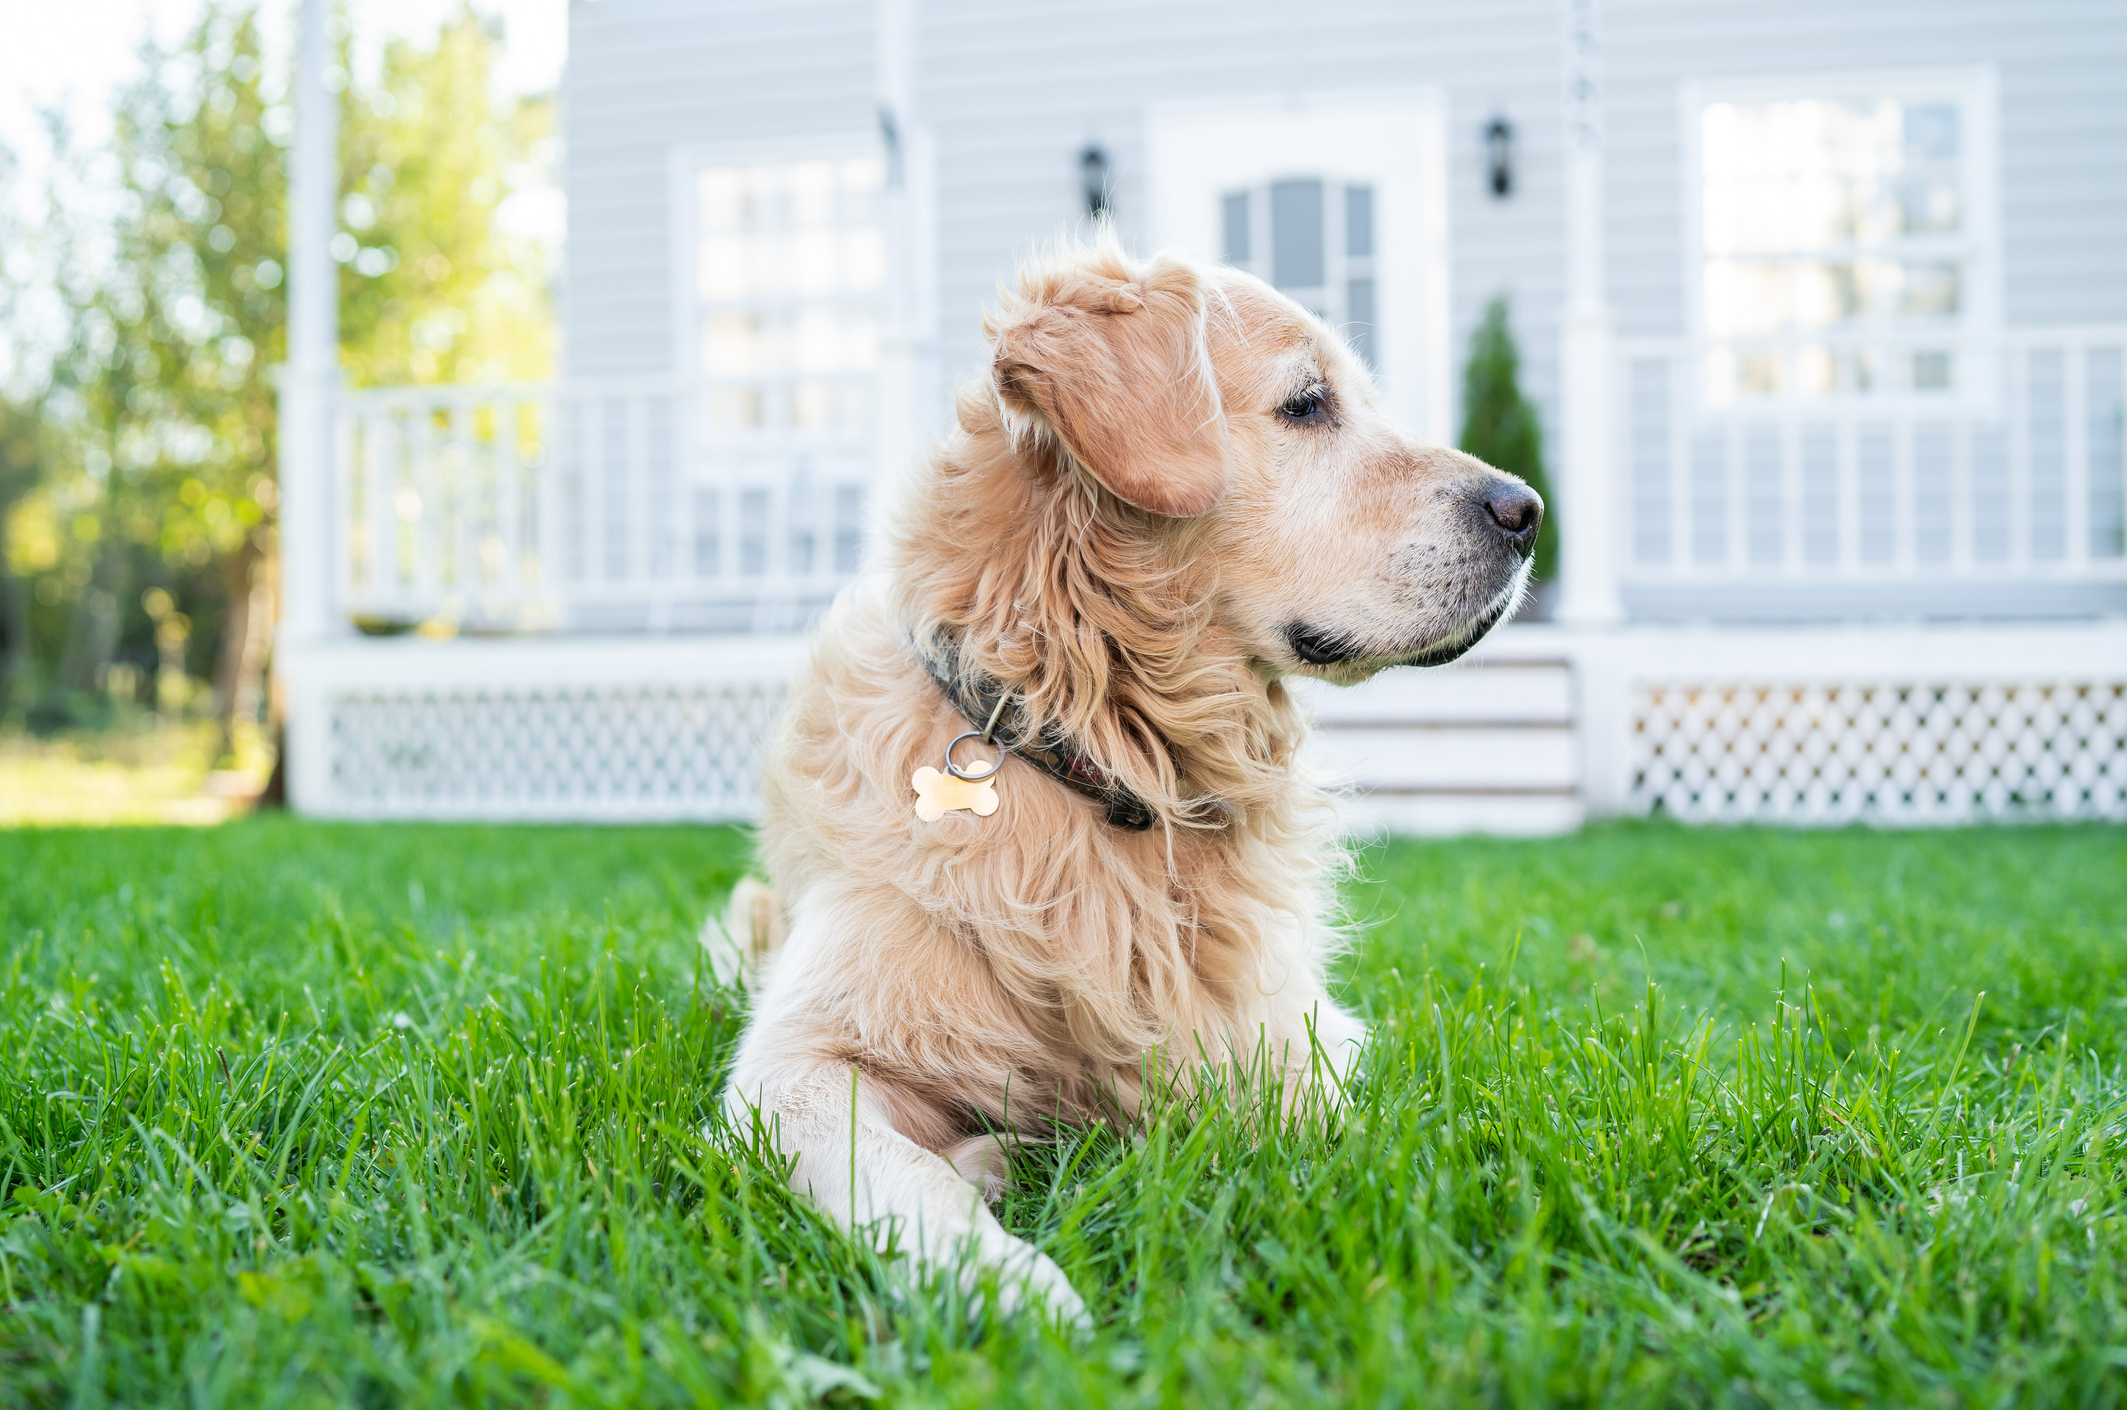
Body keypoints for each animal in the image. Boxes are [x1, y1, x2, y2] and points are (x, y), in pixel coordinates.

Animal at [718, 233, 1548, 1327]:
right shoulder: (790, 1065)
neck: (1108, 757)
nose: (1529, 511)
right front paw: (1006, 1286)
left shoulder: (1291, 1035)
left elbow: (1344, 1130)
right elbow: (898, 1173)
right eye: (1307, 404)